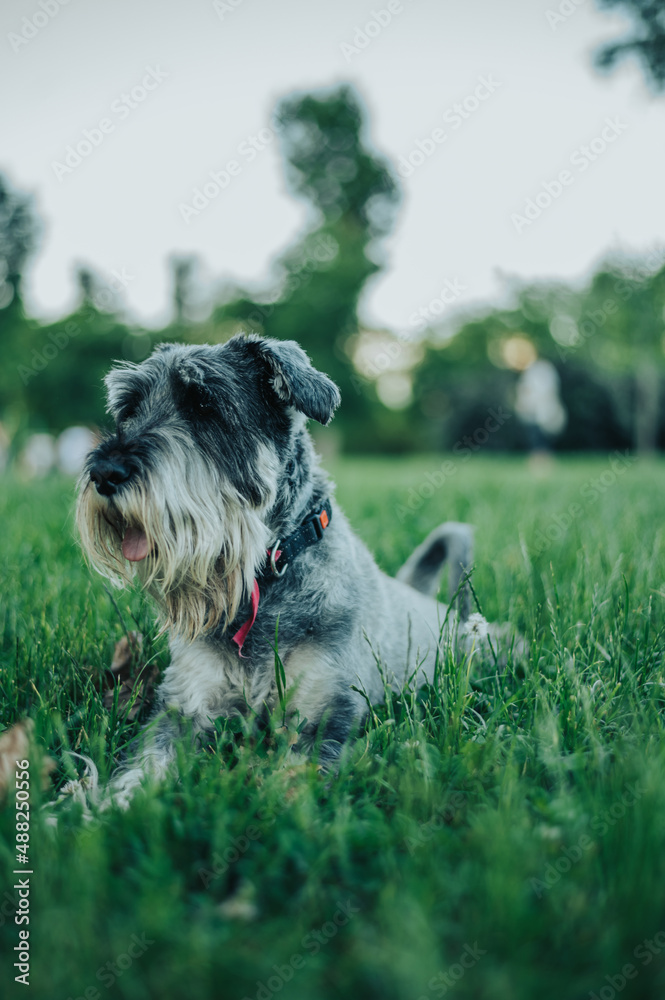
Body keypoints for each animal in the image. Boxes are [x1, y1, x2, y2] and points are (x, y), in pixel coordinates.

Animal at [76, 334, 488, 804]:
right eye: (128, 408)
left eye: (204, 405)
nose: (104, 472)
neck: (265, 576)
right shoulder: (184, 706)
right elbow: (143, 767)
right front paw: (101, 809)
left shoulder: (320, 715)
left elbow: (293, 782)